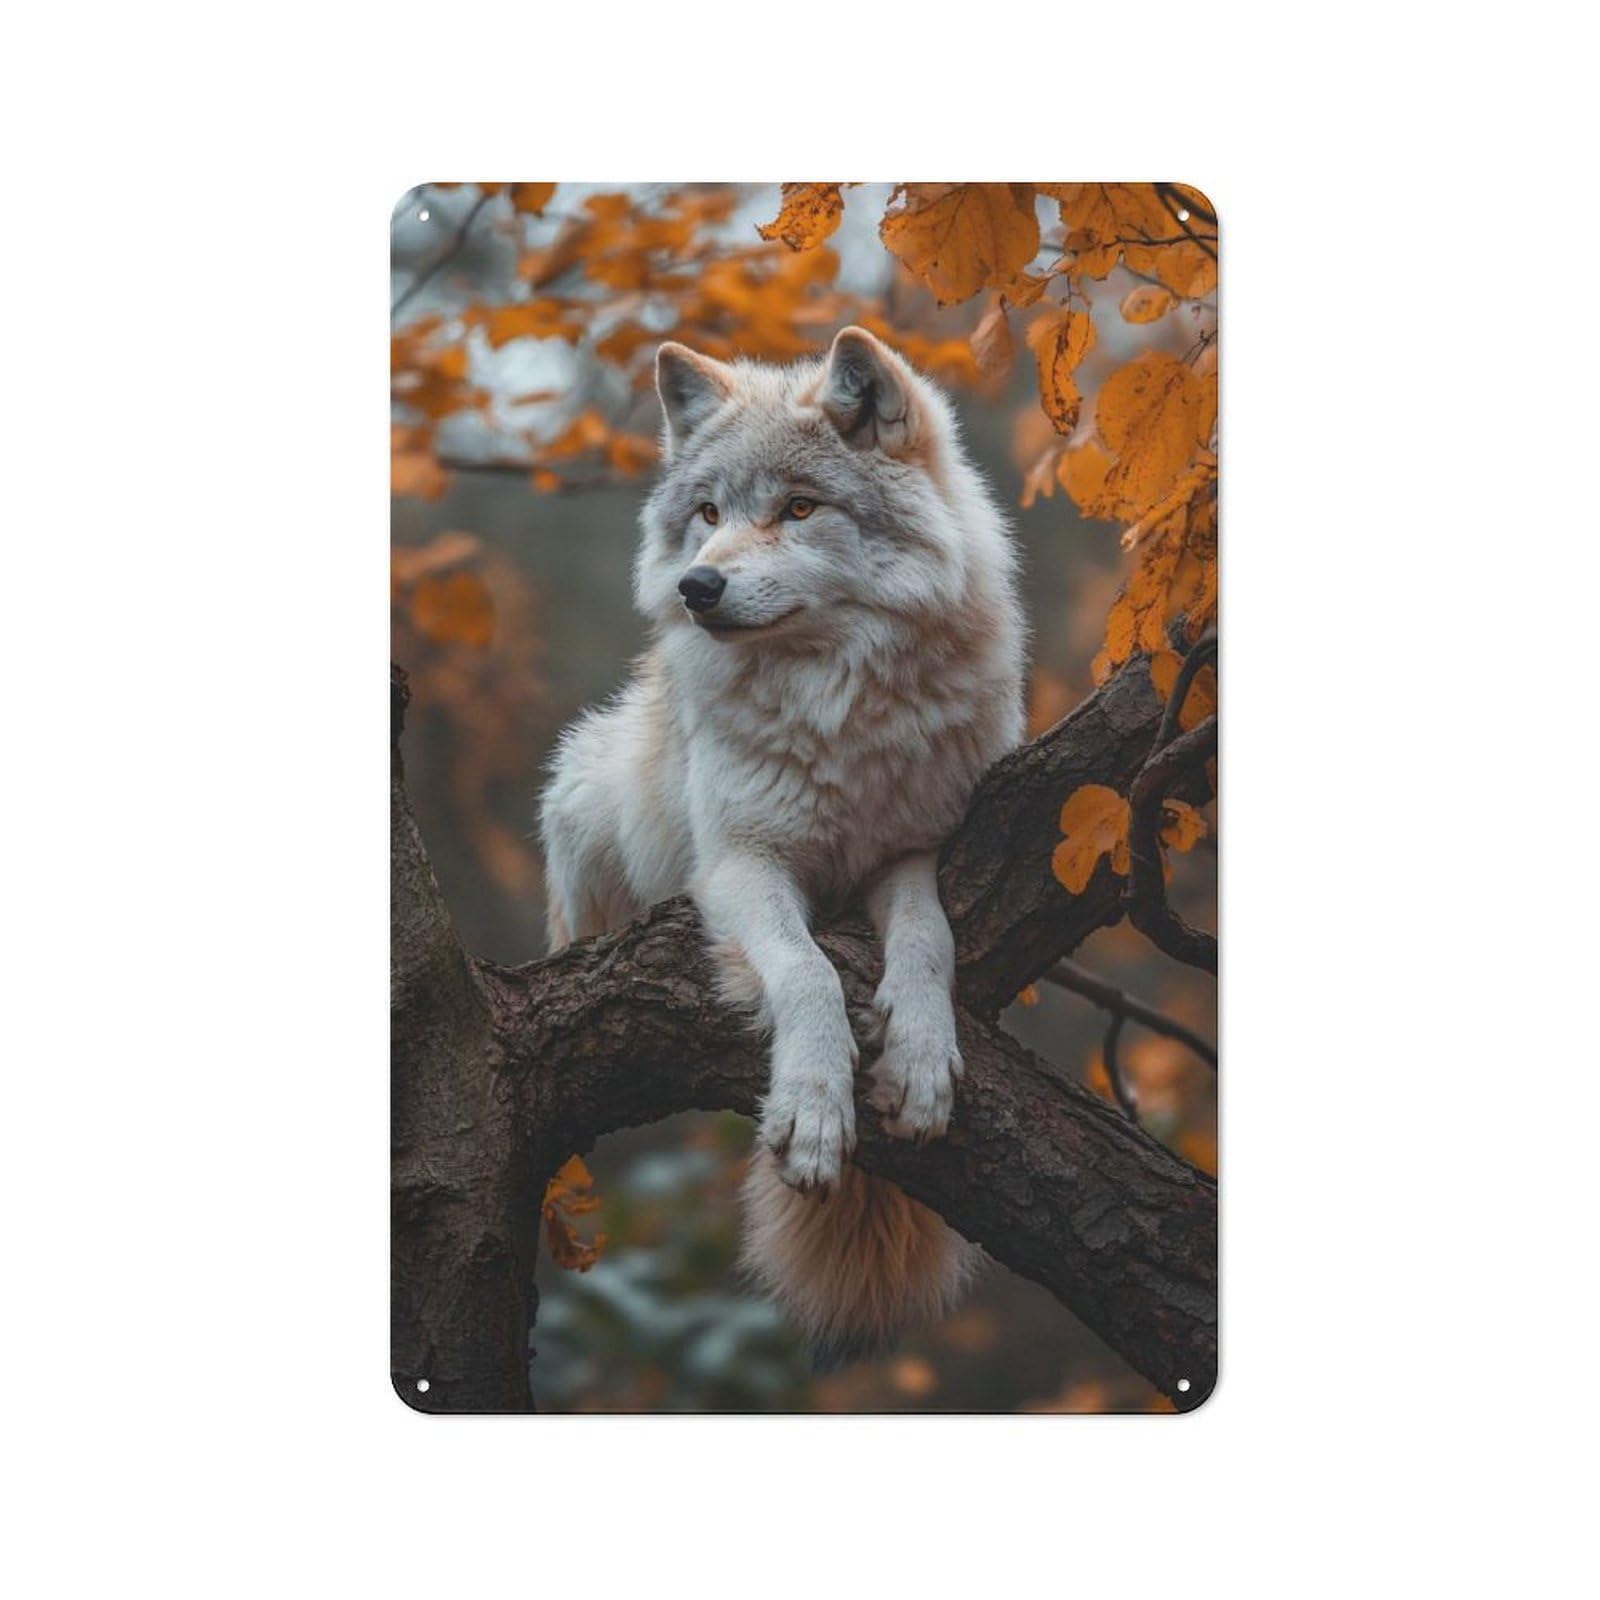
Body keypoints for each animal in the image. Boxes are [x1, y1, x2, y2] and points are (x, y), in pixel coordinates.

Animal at [539, 326, 1027, 1364]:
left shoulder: (911, 850)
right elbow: (805, 973)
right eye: (709, 513)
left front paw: (920, 1064)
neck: (830, 704)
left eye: (798, 508)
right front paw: (813, 1110)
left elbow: (928, 942)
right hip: (585, 797)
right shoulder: (740, 865)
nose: (698, 586)